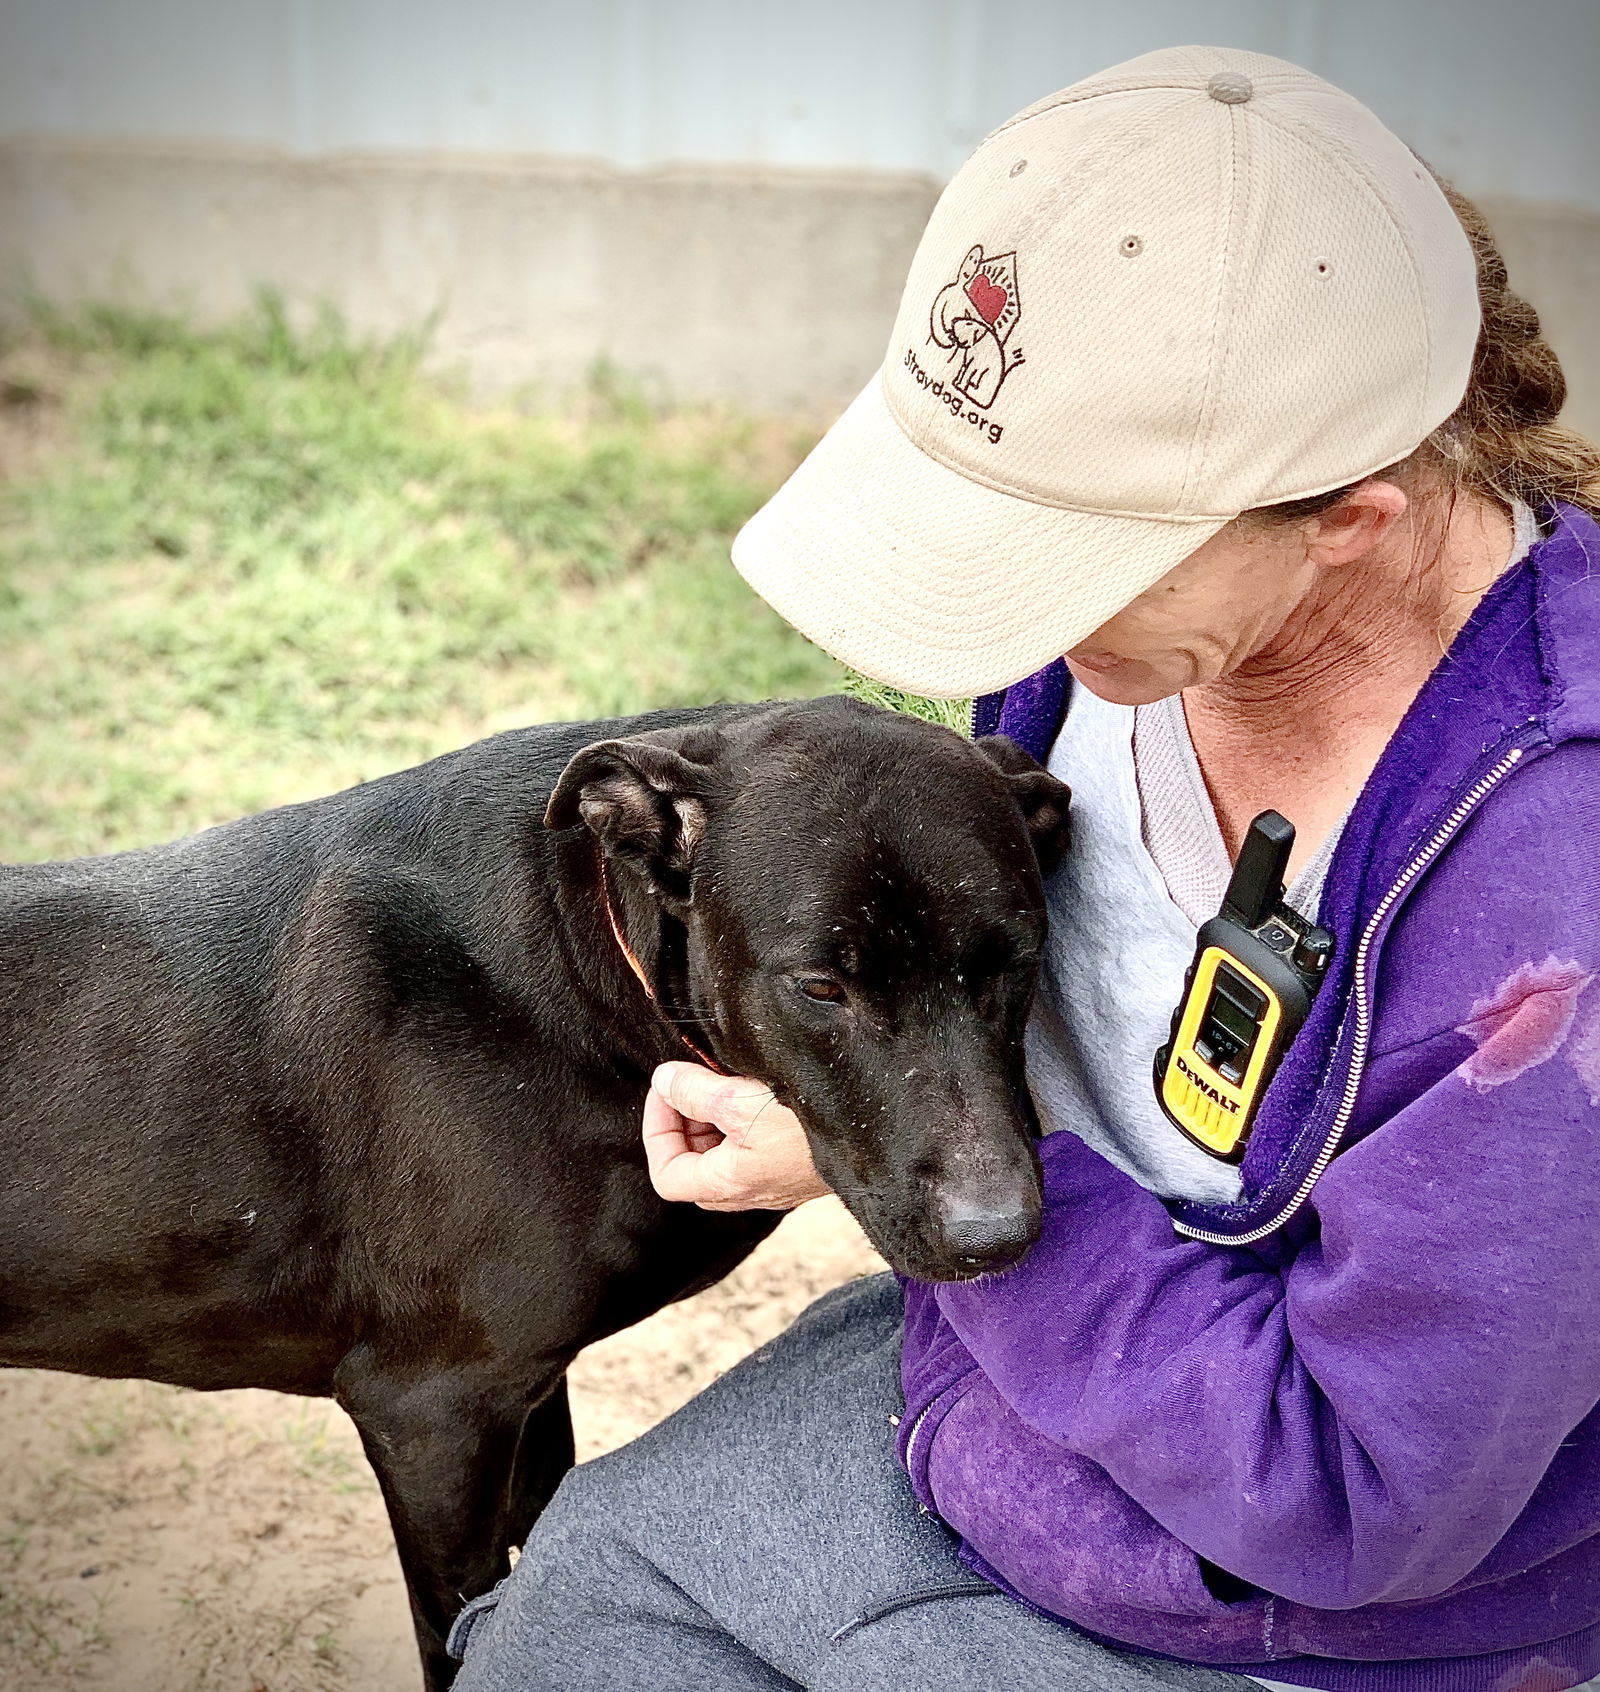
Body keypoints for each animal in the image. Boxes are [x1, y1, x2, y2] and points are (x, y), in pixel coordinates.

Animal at [3, 693, 1075, 1685]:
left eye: (1017, 960)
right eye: (820, 987)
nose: (998, 1237)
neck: (584, 968)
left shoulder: (523, 1388)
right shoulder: (429, 1413)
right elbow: (456, 1635)